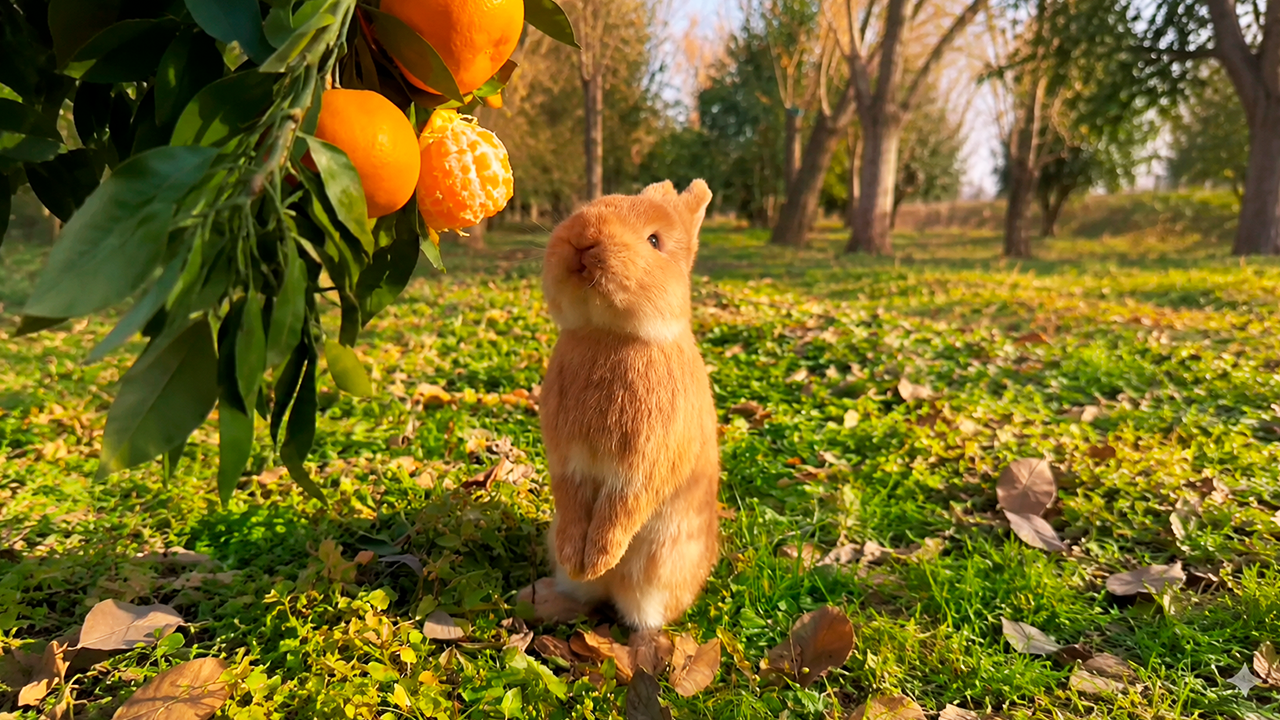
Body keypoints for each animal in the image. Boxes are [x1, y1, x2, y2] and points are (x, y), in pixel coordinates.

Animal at [529, 178, 720, 631]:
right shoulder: (568, 460)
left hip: (658, 570)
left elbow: (624, 504)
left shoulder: (644, 464)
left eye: (654, 241)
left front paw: (598, 558)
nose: (584, 236)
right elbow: (571, 494)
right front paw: (578, 558)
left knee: (640, 616)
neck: (609, 335)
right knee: (585, 597)